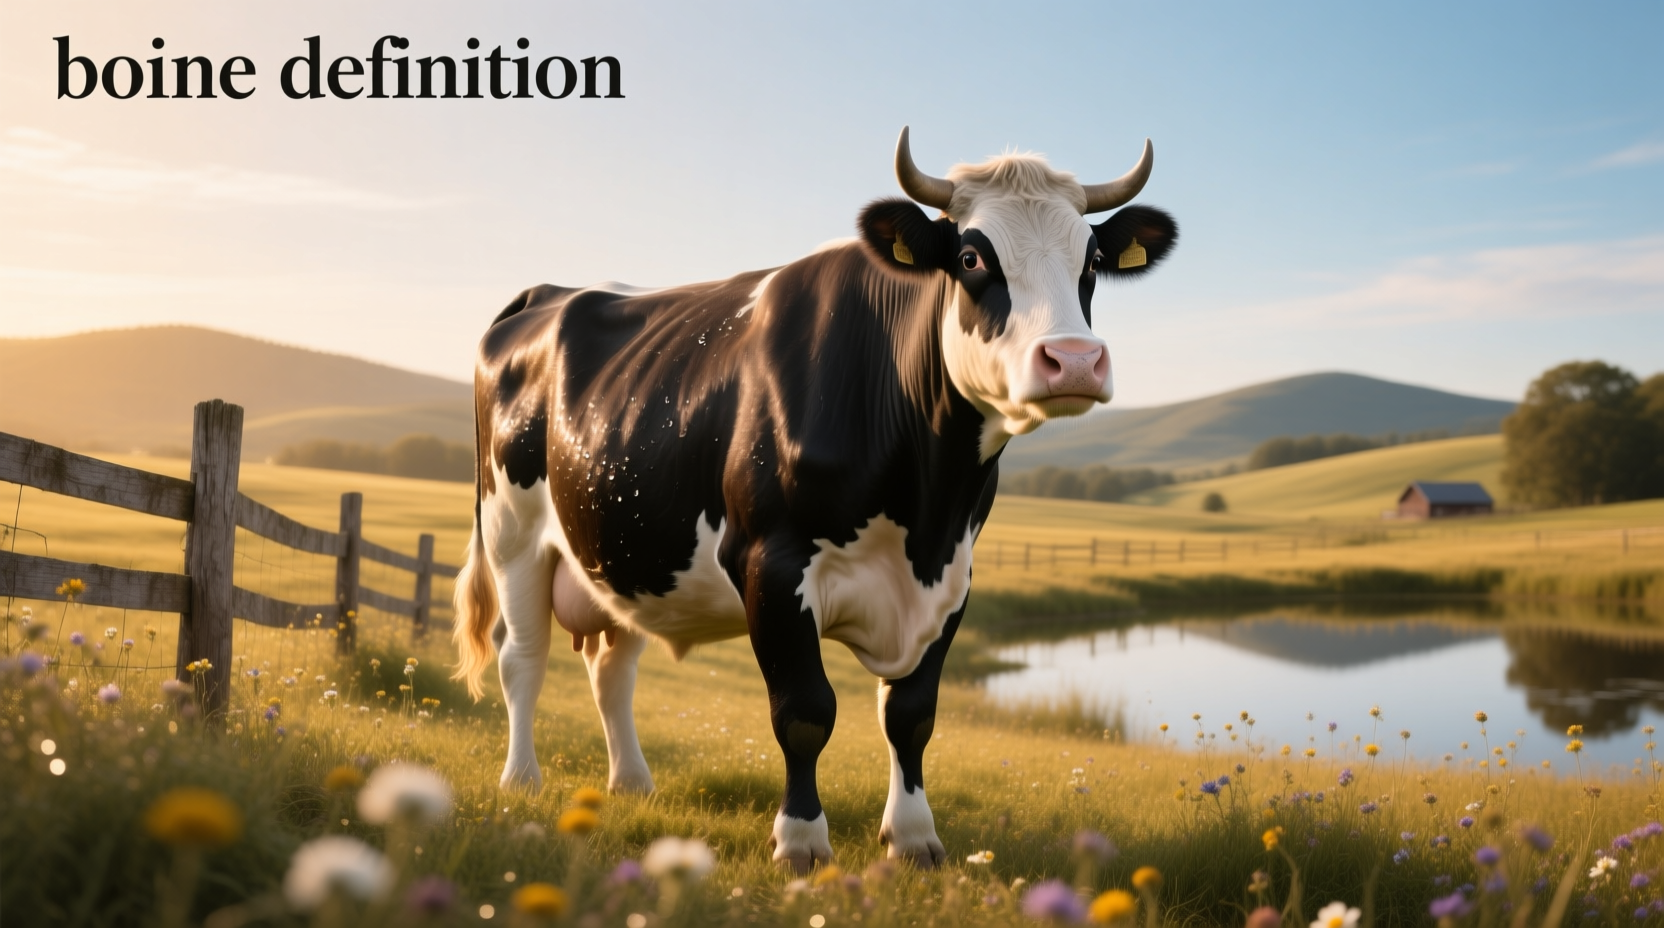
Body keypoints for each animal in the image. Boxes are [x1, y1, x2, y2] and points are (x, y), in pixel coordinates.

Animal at [452, 128, 1178, 871]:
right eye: (972, 256)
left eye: (1092, 259)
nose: (1075, 360)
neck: (925, 504)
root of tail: (547, 292)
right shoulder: (770, 564)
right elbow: (804, 712)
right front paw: (800, 841)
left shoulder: (953, 578)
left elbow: (911, 715)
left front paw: (914, 838)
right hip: (512, 535)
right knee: (522, 660)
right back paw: (522, 780)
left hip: (622, 552)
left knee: (610, 669)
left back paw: (632, 783)